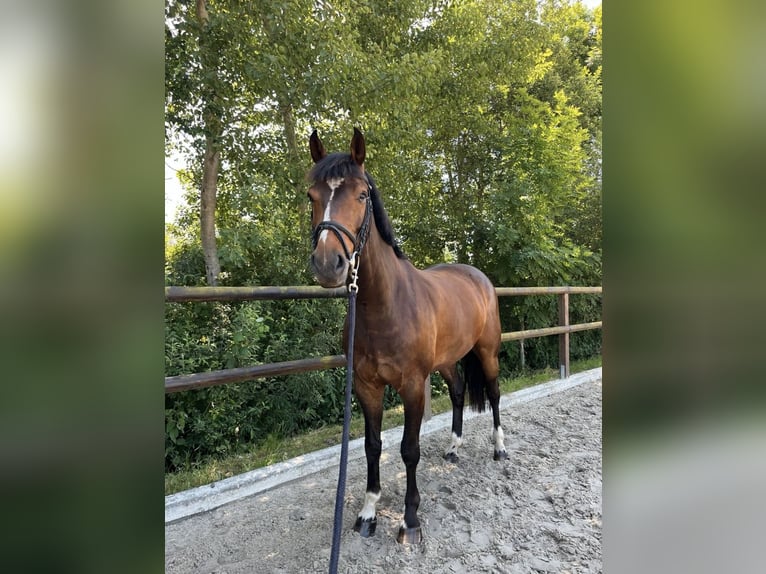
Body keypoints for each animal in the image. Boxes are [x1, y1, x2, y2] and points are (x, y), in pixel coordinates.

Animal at [306, 128, 507, 545]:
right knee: (459, 392)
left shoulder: (413, 385)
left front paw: (409, 520)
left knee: (495, 394)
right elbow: (372, 446)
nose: (328, 264)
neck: (383, 306)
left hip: (487, 352)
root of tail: (477, 276)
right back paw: (453, 448)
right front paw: (368, 512)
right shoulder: (366, 386)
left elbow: (409, 449)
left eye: (361, 195)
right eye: (311, 196)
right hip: (447, 361)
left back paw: (499, 448)